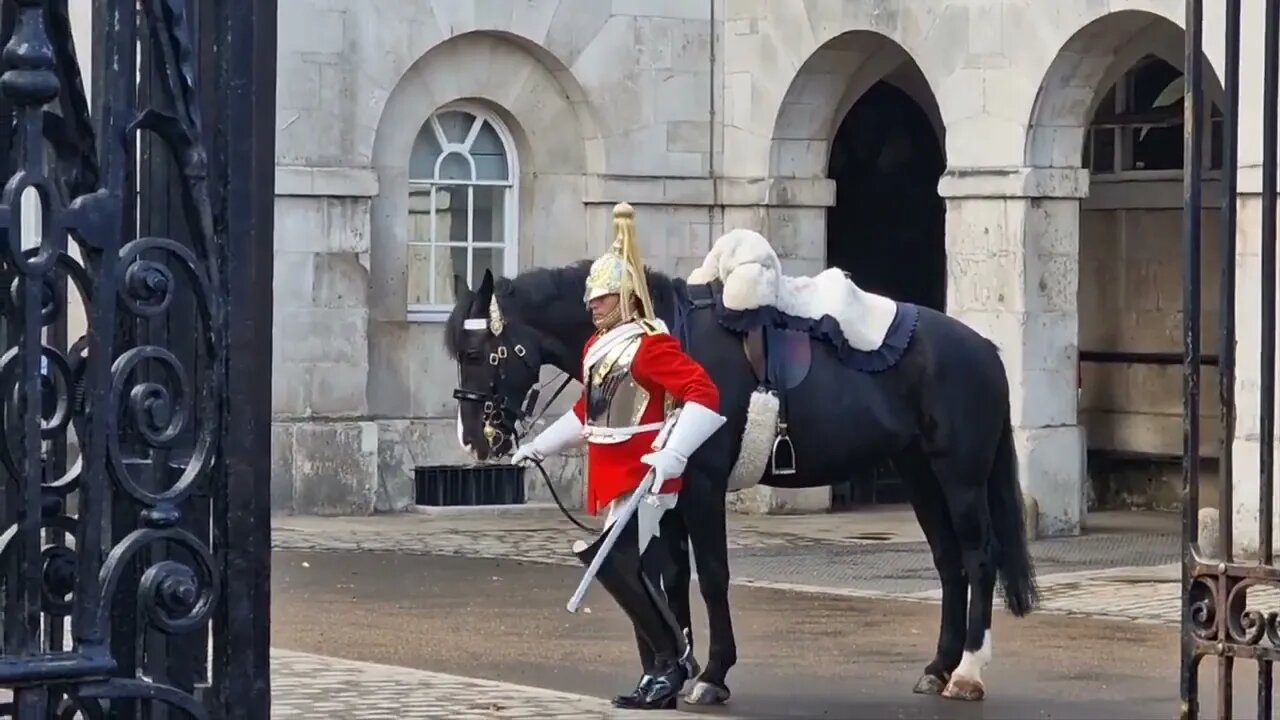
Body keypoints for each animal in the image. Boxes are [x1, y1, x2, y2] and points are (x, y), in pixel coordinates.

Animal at [445, 256, 1034, 702]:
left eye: (476, 353)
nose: (475, 440)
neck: (669, 334)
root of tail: (983, 347)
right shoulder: (671, 489)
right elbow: (670, 576)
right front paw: (673, 669)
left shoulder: (703, 487)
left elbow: (712, 576)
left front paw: (710, 675)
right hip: (920, 476)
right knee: (949, 563)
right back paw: (938, 667)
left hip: (959, 478)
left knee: (979, 559)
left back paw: (967, 672)